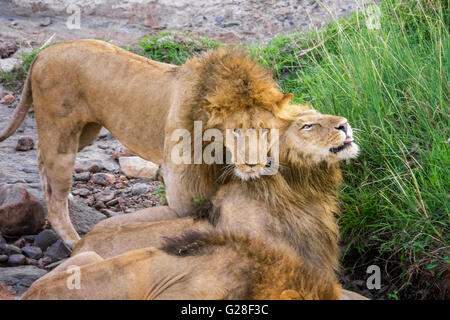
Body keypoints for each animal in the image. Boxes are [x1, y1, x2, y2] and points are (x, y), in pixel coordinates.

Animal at [1, 42, 300, 242]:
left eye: (265, 130)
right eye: (235, 131)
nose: (252, 165)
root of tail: (44, 52)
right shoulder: (180, 182)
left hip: (85, 132)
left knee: (40, 152)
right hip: (62, 135)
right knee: (54, 199)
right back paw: (74, 242)